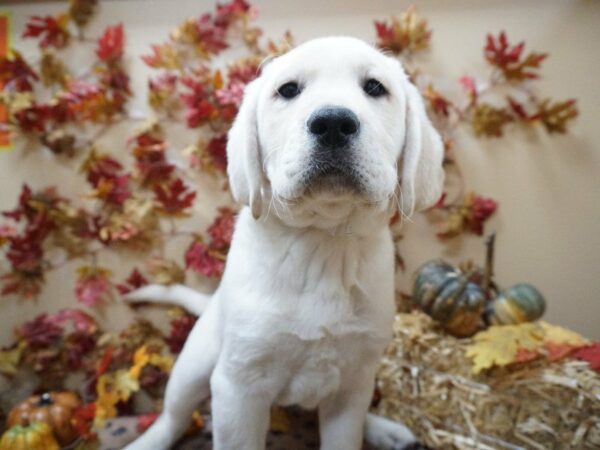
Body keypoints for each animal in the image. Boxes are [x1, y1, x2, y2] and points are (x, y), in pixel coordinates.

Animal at [124, 36, 442, 450]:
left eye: (375, 87)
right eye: (288, 90)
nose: (333, 123)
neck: (324, 242)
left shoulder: (351, 386)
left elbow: (345, 435)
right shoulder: (238, 388)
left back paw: (382, 428)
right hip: (194, 365)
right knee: (174, 416)